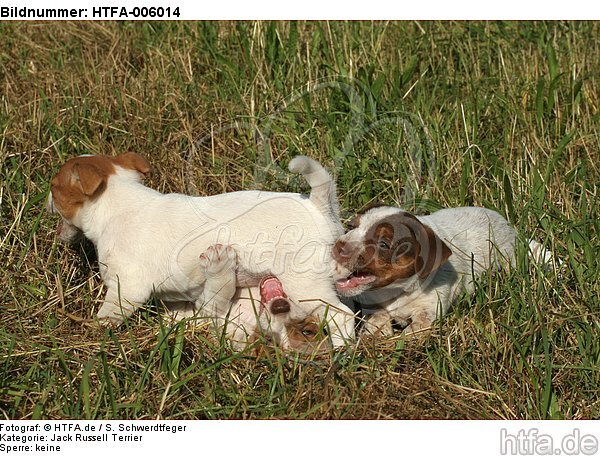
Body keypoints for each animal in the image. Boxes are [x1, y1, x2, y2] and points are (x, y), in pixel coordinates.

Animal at [49, 151, 356, 348]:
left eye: (53, 188)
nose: (44, 201)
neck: (117, 205)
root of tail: (317, 206)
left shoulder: (126, 288)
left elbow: (109, 313)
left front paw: (97, 331)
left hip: (305, 285)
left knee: (342, 314)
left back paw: (342, 349)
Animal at [330, 204, 556, 334]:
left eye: (384, 244)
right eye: (351, 227)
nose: (338, 246)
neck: (397, 292)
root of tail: (512, 231)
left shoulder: (429, 310)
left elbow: (413, 331)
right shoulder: (373, 306)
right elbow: (376, 322)